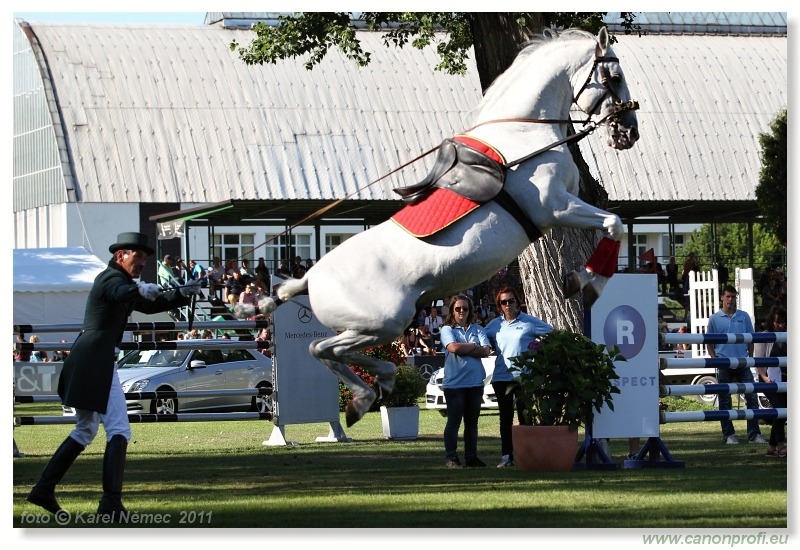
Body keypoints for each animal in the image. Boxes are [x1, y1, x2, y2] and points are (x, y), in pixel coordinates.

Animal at [260, 28, 640, 430]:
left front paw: (580, 279)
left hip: (372, 326)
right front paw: (587, 281)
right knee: (323, 348)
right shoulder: (556, 206)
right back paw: (370, 390)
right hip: (383, 324)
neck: (524, 135)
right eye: (615, 76)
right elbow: (614, 225)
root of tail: (310, 277)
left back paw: (372, 389)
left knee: (323, 350)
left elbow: (612, 225)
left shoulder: (564, 205)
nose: (628, 133)